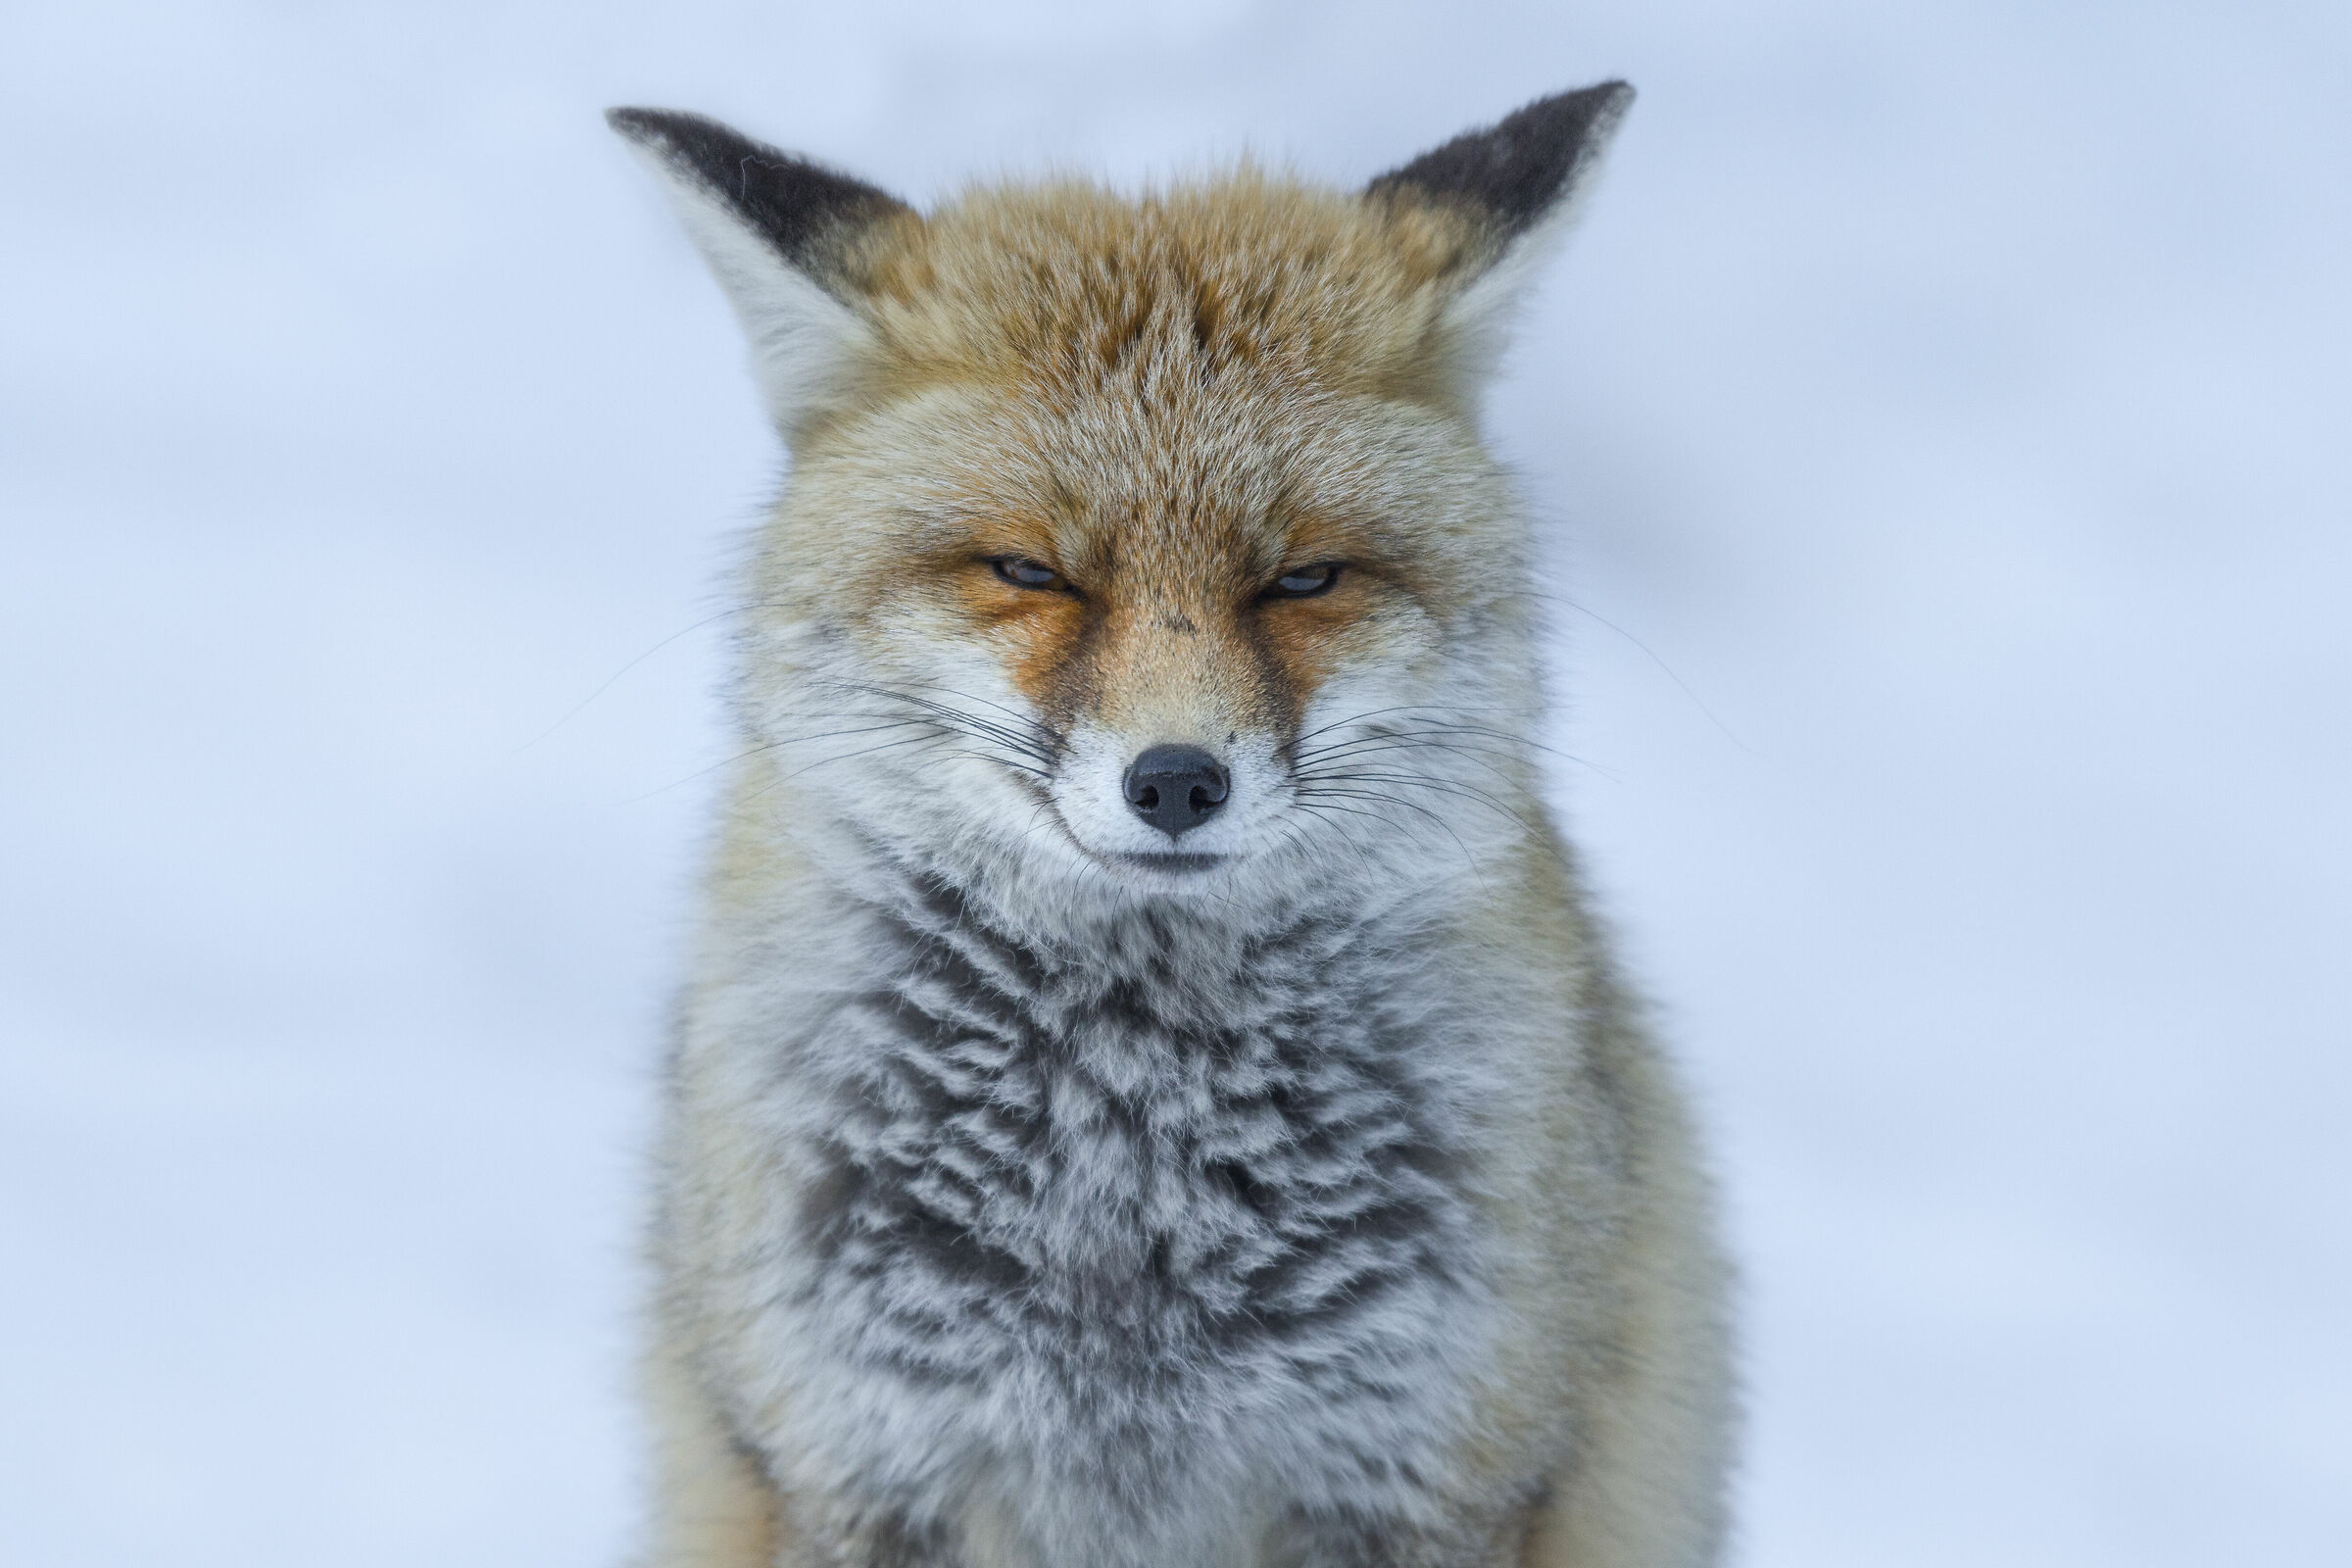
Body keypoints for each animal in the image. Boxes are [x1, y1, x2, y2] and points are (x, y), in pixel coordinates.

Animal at [607, 82, 1732, 1568]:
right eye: (1030, 570)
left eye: (1303, 579)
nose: (1180, 781)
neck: (1126, 1163)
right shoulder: (857, 1457)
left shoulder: (1421, 1467)